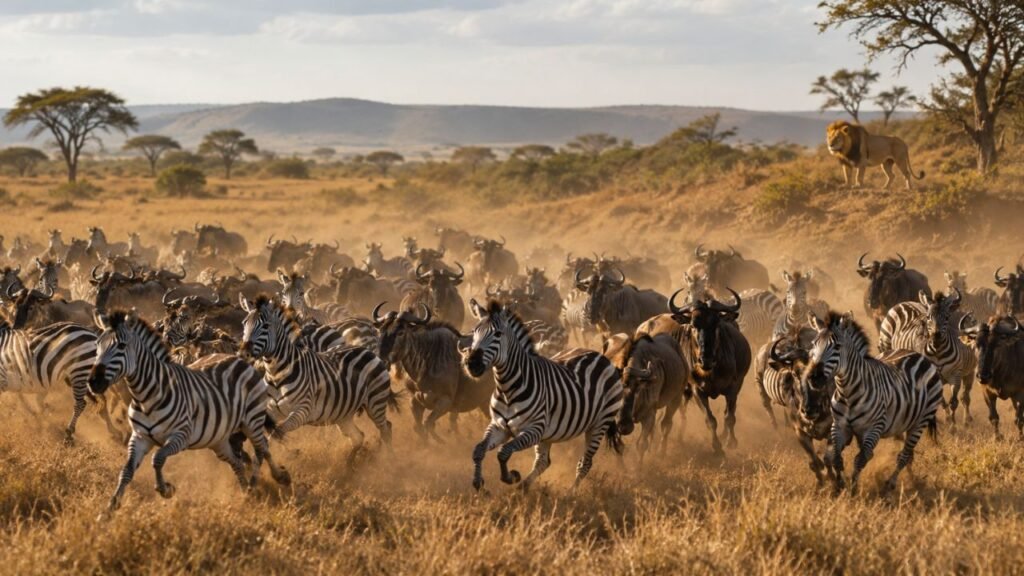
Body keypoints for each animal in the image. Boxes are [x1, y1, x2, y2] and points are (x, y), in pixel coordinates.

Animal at [87, 310, 290, 513]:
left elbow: (157, 459)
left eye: (121, 346)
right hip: (219, 440)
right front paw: (109, 508)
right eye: (98, 345)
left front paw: (166, 489)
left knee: (262, 447)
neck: (147, 395)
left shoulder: (181, 435)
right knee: (237, 462)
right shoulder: (140, 437)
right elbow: (127, 470)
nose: (94, 382)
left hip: (252, 420)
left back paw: (273, 479)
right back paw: (246, 495)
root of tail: (237, 358)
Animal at [239, 295, 397, 449]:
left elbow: (277, 433)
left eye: (265, 326)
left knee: (386, 428)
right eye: (244, 324)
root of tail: (365, 349)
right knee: (358, 437)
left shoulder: (302, 410)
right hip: (342, 413)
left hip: (375, 400)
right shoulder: (269, 411)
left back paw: (388, 456)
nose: (244, 353)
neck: (276, 374)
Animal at [464, 299, 624, 491]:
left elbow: (504, 452)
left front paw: (511, 477)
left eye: (498, 334)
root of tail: (600, 356)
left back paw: (570, 493)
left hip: (599, 423)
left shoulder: (535, 429)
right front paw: (478, 482)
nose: (472, 363)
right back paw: (523, 488)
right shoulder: (499, 426)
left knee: (585, 463)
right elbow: (478, 449)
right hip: (550, 433)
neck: (507, 388)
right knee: (543, 461)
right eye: (475, 332)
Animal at [804, 311, 942, 494]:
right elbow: (836, 457)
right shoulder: (839, 426)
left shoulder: (874, 428)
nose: (814, 378)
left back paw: (891, 484)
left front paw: (853, 489)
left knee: (904, 455)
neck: (847, 392)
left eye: (837, 347)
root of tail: (916, 354)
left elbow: (860, 460)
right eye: (814, 344)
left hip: (921, 421)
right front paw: (839, 486)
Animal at [878, 290, 977, 423]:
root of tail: (904, 303)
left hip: (969, 372)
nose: (935, 336)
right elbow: (940, 401)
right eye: (928, 317)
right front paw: (947, 419)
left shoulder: (955, 375)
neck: (938, 351)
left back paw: (967, 420)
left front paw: (952, 424)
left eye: (947, 317)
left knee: (965, 396)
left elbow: (953, 402)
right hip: (886, 344)